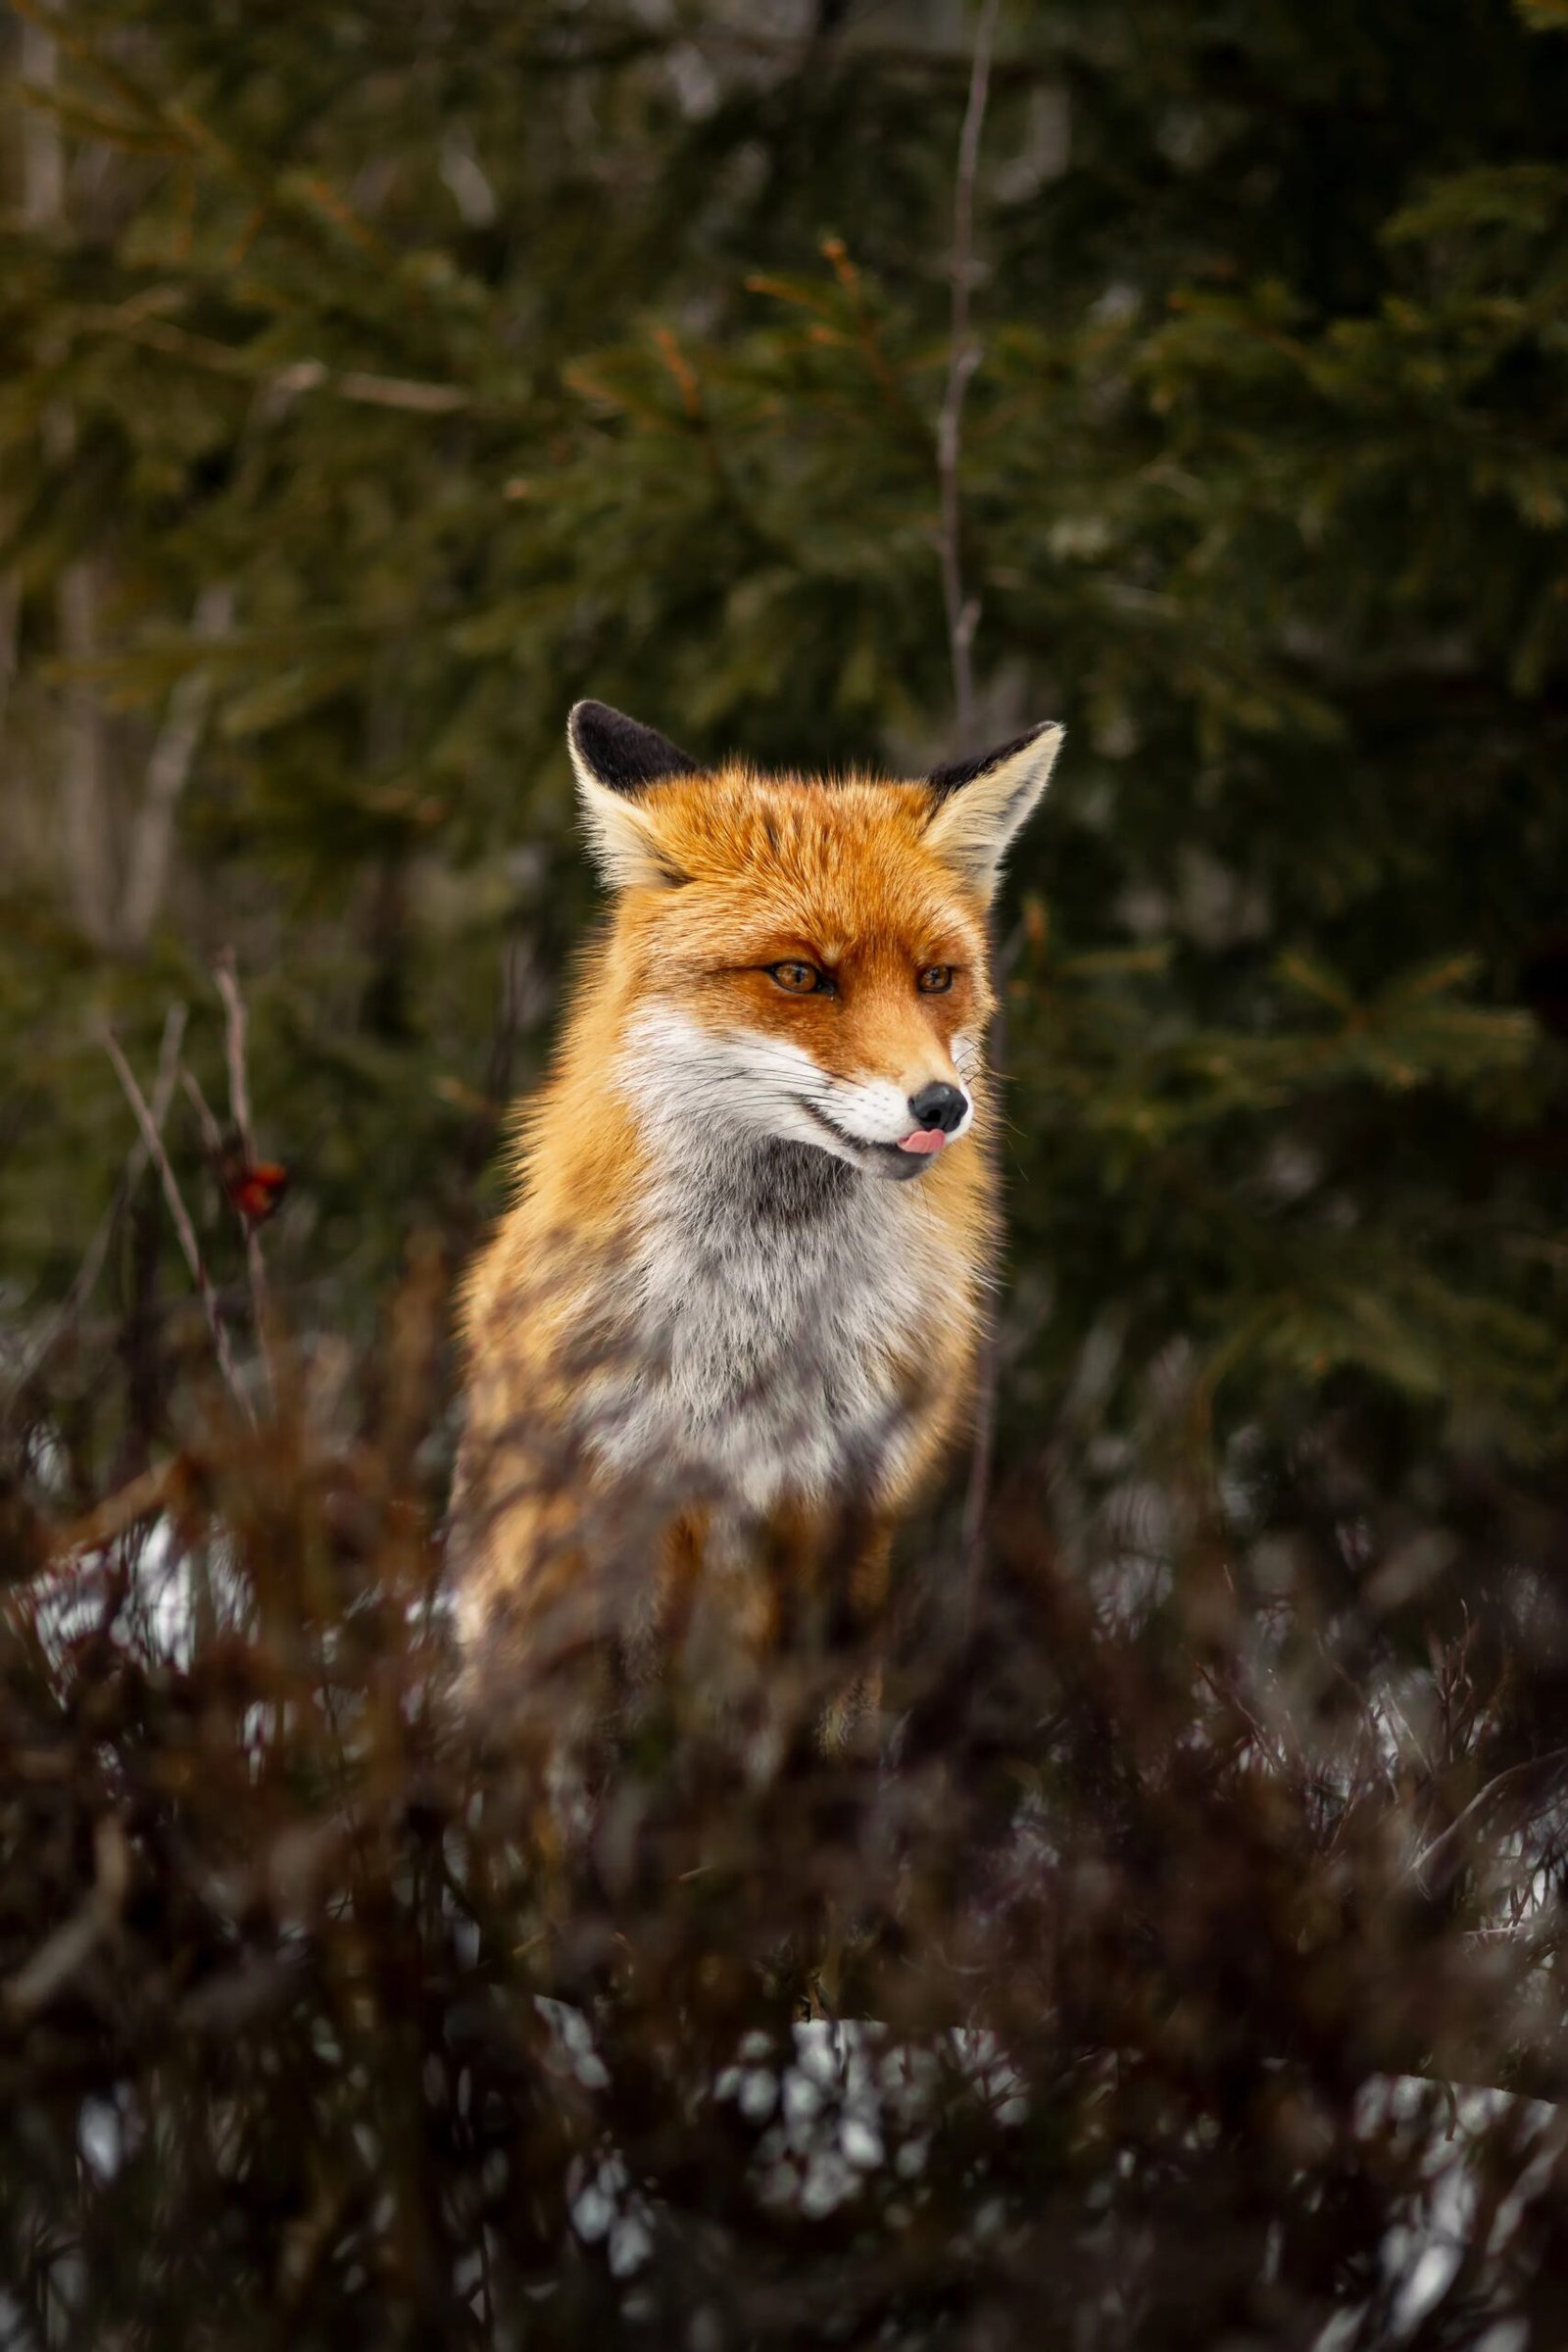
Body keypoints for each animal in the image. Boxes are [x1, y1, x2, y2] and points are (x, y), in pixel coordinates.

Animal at [451, 699, 1063, 1715]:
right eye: (800, 976)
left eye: (936, 979)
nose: (942, 1106)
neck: (750, 1343)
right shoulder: (621, 1505)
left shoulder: (845, 1501)